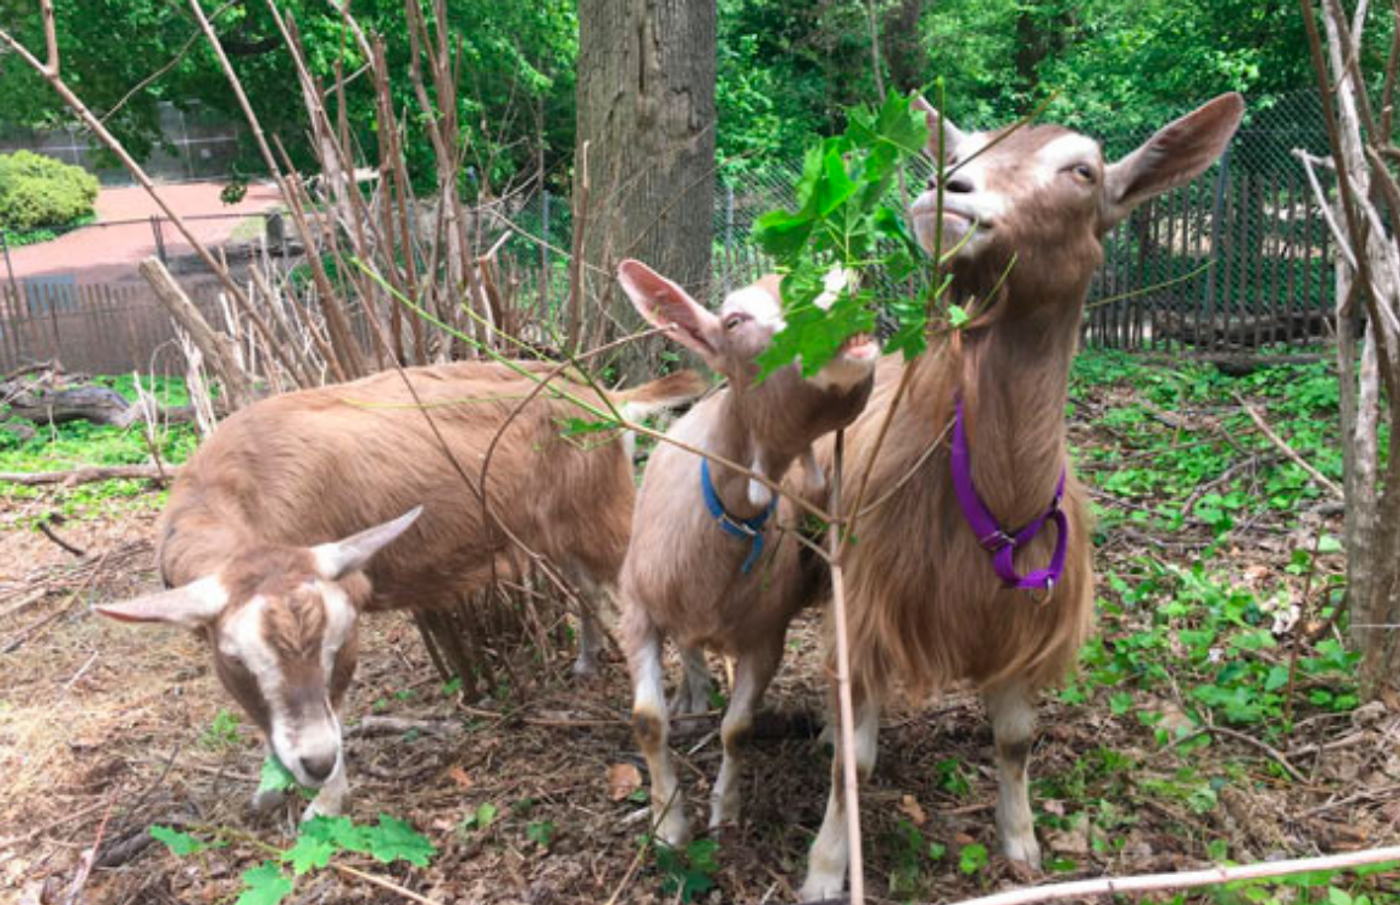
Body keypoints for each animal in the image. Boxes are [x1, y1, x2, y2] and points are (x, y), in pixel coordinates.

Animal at [98, 361, 705, 823]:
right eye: (235, 658)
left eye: (339, 643)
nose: (315, 762)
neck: (235, 482)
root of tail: (604, 397)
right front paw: (271, 789)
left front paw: (325, 804)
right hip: (564, 532)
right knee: (591, 591)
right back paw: (588, 661)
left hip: (608, 518)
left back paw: (692, 703)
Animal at [800, 92, 1248, 902]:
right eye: (959, 151)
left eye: (1083, 171)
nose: (946, 193)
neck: (1000, 503)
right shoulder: (875, 597)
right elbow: (858, 756)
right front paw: (824, 870)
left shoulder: (1022, 620)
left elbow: (1014, 740)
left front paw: (1023, 846)